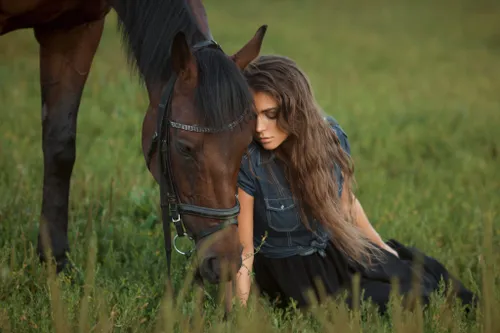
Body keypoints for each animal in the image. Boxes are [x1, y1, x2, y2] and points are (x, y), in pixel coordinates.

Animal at [1, 0, 268, 286]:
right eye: (185, 148)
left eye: (245, 146)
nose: (226, 262)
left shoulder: (74, 29)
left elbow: (59, 146)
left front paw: (56, 260)